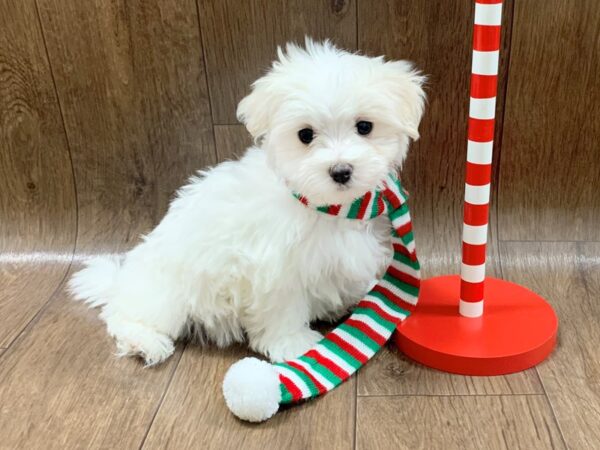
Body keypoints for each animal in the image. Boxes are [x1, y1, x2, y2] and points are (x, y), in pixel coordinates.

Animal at [69, 39, 426, 366]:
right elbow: (283, 308)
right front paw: (293, 343)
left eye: (365, 126)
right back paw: (144, 341)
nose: (340, 171)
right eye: (305, 135)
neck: (324, 207)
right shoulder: (276, 270)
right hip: (164, 291)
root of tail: (122, 281)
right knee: (128, 315)